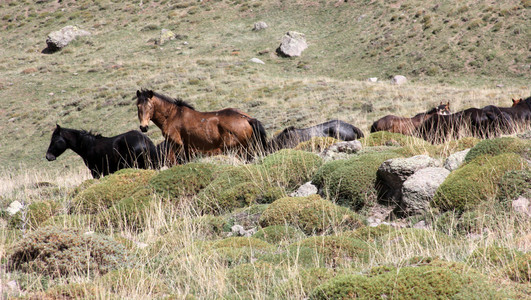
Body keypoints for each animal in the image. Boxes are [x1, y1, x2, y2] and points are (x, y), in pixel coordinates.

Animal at [135, 88, 268, 162]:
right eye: (138, 106)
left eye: (150, 107)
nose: (143, 127)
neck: (172, 115)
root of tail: (247, 119)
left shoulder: (177, 145)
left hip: (237, 149)